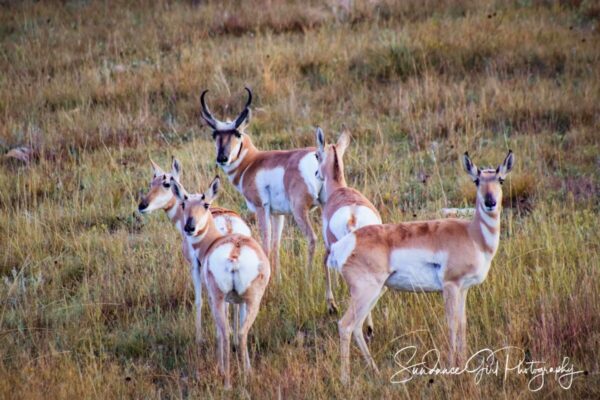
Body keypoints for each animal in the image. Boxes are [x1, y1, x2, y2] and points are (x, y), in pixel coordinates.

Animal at [138, 158, 251, 346]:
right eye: (150, 183)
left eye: (166, 183)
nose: (142, 205)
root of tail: (229, 226)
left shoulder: (195, 268)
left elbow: (199, 300)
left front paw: (199, 338)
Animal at [170, 177, 270, 390]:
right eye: (183, 203)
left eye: (205, 204)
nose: (190, 227)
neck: (215, 240)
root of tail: (234, 254)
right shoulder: (237, 301)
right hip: (252, 302)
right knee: (240, 333)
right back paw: (245, 375)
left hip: (218, 299)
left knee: (225, 333)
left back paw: (226, 379)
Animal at [199, 88, 324, 276]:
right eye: (215, 134)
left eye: (237, 133)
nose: (222, 158)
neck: (251, 162)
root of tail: (316, 156)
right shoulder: (277, 214)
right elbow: (276, 245)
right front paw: (278, 277)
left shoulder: (261, 208)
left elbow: (265, 245)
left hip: (299, 210)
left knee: (312, 238)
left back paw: (308, 277)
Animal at [314, 126, 380, 330]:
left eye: (317, 154)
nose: (316, 174)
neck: (340, 190)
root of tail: (352, 218)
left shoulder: (328, 248)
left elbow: (324, 264)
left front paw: (331, 306)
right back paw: (369, 327)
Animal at [328, 149, 516, 382]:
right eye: (476, 180)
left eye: (501, 179)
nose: (490, 202)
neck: (472, 234)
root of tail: (346, 243)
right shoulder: (450, 286)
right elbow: (452, 323)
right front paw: (451, 367)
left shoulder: (463, 289)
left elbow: (462, 324)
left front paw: (463, 364)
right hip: (366, 292)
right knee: (345, 325)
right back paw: (345, 380)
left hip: (375, 292)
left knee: (356, 327)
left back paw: (375, 371)